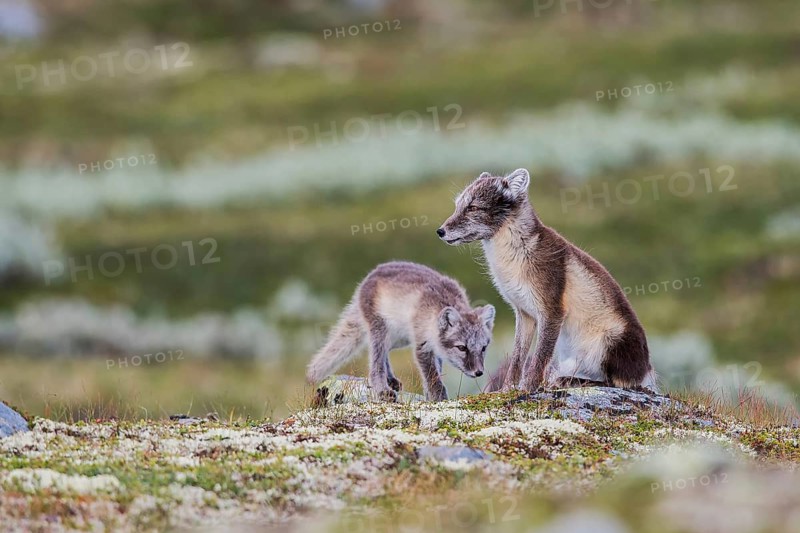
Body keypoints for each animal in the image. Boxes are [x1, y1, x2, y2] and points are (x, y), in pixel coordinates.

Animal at [306, 261, 496, 402]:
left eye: (484, 348)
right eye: (462, 347)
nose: (479, 372)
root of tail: (371, 275)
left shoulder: (434, 348)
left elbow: (434, 375)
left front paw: (430, 396)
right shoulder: (422, 345)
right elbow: (433, 378)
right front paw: (439, 399)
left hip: (398, 339)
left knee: (384, 354)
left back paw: (391, 380)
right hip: (381, 330)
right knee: (376, 362)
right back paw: (383, 389)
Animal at [437, 168, 657, 393]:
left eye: (473, 207)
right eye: (457, 206)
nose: (440, 231)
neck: (514, 257)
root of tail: (647, 370)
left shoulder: (552, 311)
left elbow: (539, 359)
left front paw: (527, 389)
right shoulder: (524, 313)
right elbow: (518, 358)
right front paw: (507, 390)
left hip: (610, 341)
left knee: (617, 384)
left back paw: (568, 381)